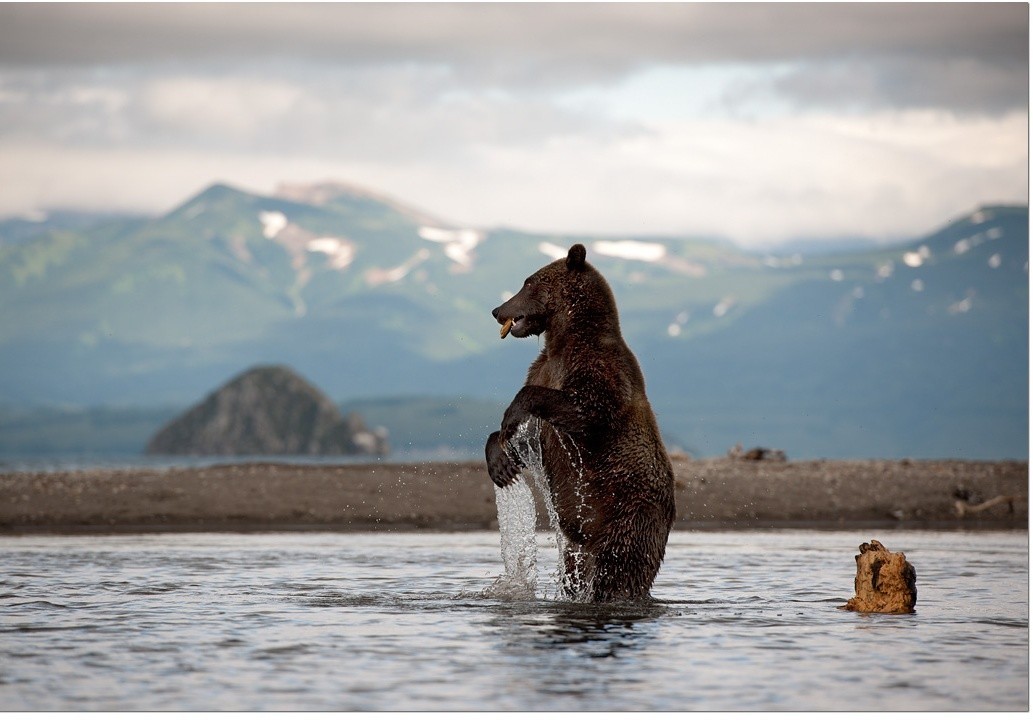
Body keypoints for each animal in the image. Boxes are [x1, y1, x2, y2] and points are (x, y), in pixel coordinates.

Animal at [485, 241, 677, 599]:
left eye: (528, 282)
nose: (497, 309)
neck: (565, 338)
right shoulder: (544, 367)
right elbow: (528, 440)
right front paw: (501, 461)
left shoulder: (598, 368)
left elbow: (588, 411)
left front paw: (511, 415)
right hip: (578, 546)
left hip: (627, 516)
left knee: (616, 570)